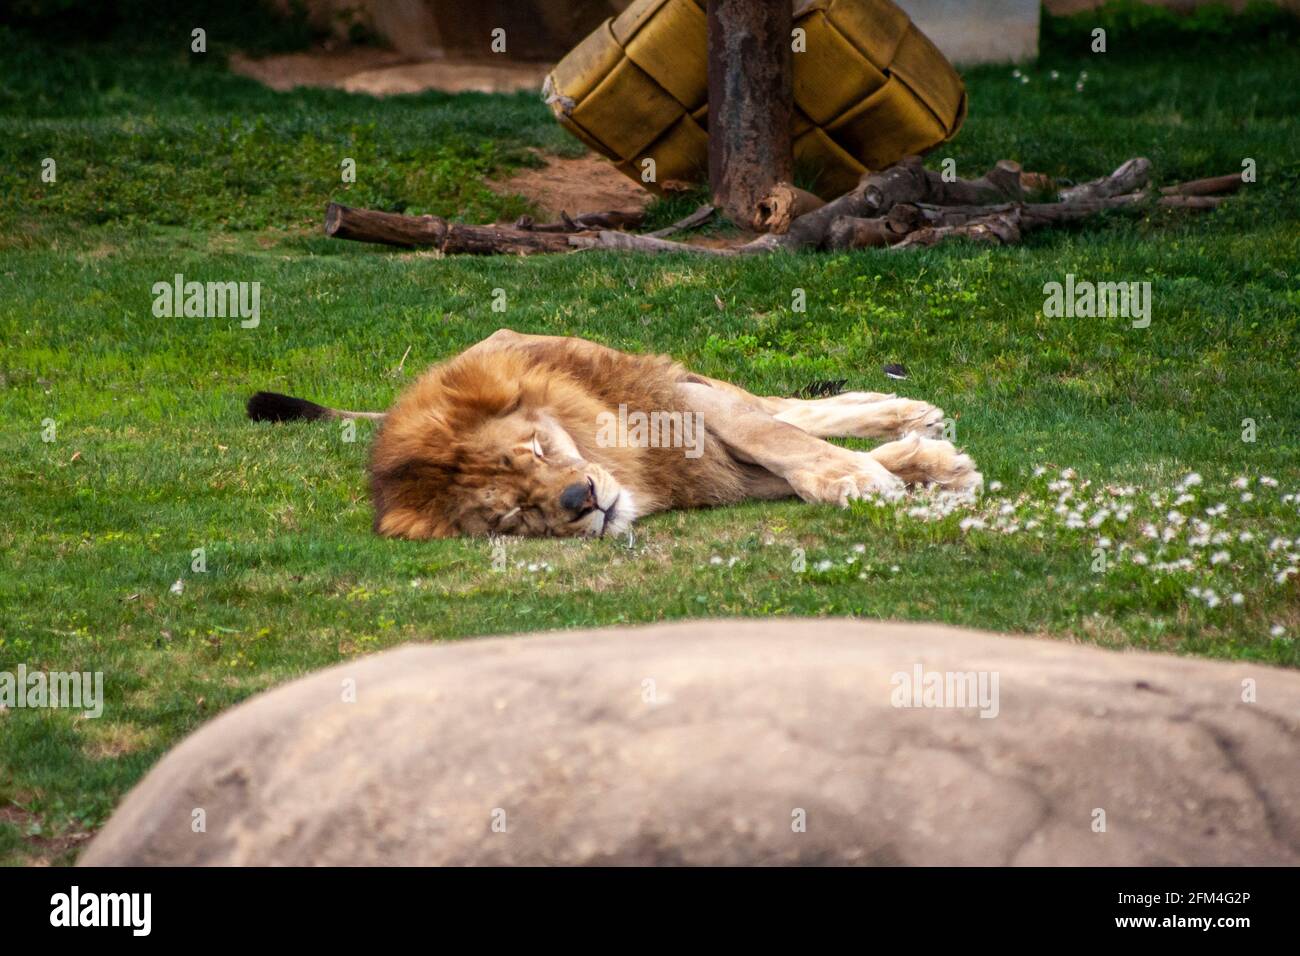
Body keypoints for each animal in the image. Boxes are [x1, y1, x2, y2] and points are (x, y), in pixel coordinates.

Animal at [247, 329, 981, 539]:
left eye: (536, 449)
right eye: (512, 514)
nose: (582, 503)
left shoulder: (678, 403)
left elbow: (779, 437)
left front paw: (869, 474)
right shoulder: (707, 473)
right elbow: (785, 464)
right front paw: (924, 470)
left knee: (778, 408)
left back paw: (909, 411)